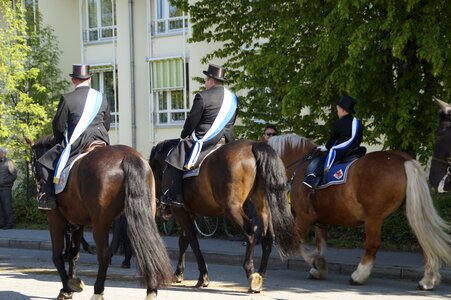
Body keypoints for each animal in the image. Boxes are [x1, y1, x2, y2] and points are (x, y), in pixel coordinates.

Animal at [28, 137, 173, 298]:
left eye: (33, 163)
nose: (38, 192)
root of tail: (128, 156)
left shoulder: (55, 219)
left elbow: (57, 256)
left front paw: (66, 289)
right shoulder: (78, 222)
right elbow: (74, 254)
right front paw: (71, 284)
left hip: (100, 222)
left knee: (104, 255)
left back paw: (98, 291)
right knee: (148, 248)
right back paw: (151, 290)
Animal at [148, 139, 302, 292]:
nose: (158, 207)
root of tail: (253, 145)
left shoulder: (180, 211)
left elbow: (193, 241)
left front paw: (202, 276)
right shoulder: (189, 212)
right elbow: (184, 242)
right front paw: (178, 273)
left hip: (232, 208)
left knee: (251, 232)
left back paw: (251, 274)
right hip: (262, 205)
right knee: (267, 237)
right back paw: (261, 275)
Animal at [266, 135, 451, 290]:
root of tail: (402, 159)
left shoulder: (304, 217)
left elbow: (297, 243)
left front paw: (317, 263)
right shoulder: (320, 220)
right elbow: (320, 244)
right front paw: (319, 269)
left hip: (373, 218)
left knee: (373, 244)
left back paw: (359, 275)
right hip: (410, 212)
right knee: (424, 240)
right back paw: (428, 279)